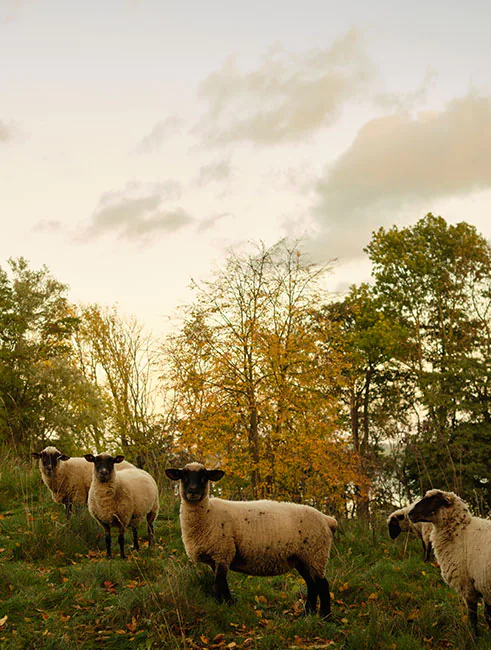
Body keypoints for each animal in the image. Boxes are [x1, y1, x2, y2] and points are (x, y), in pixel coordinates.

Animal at [166, 458, 338, 616]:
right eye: (183, 476)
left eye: (204, 477)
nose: (193, 491)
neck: (209, 513)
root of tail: (327, 519)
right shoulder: (217, 557)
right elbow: (222, 584)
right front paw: (227, 604)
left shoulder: (223, 552)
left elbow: (219, 583)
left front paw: (221, 606)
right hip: (303, 558)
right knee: (312, 584)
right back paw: (308, 612)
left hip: (315, 554)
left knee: (322, 585)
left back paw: (325, 616)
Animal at [408, 486, 491, 632]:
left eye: (434, 500)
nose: (409, 513)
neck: (461, 532)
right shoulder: (483, 587)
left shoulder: (468, 585)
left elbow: (473, 618)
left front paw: (474, 637)